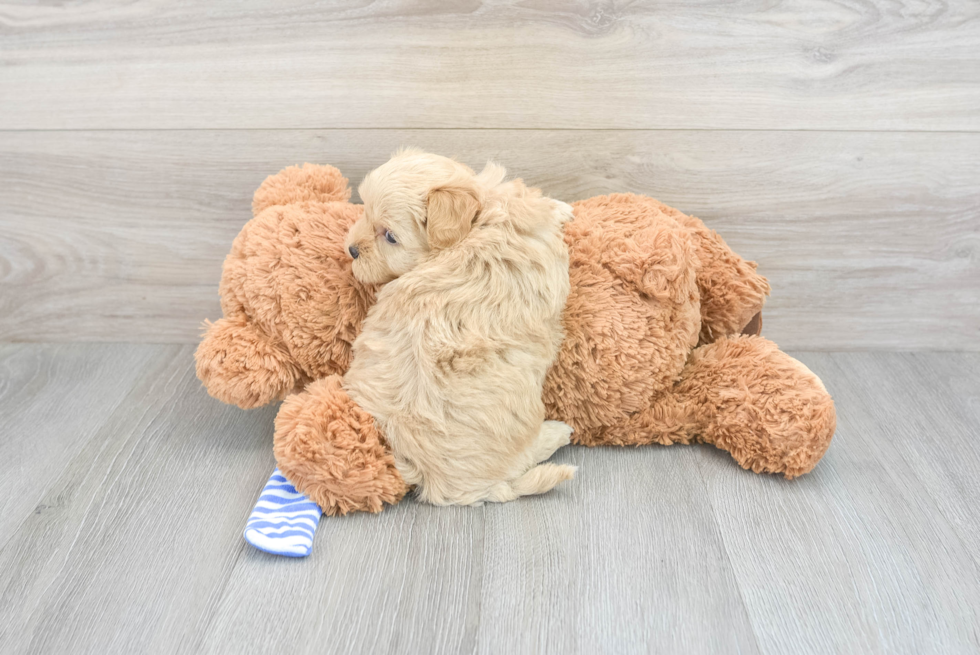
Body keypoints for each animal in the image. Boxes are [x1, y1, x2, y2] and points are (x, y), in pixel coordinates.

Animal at [342, 150, 576, 508]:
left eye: (390, 236)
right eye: (365, 211)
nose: (352, 249)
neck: (476, 223)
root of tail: (436, 480)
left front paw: (562, 206)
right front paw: (559, 208)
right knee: (523, 457)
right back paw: (558, 432)